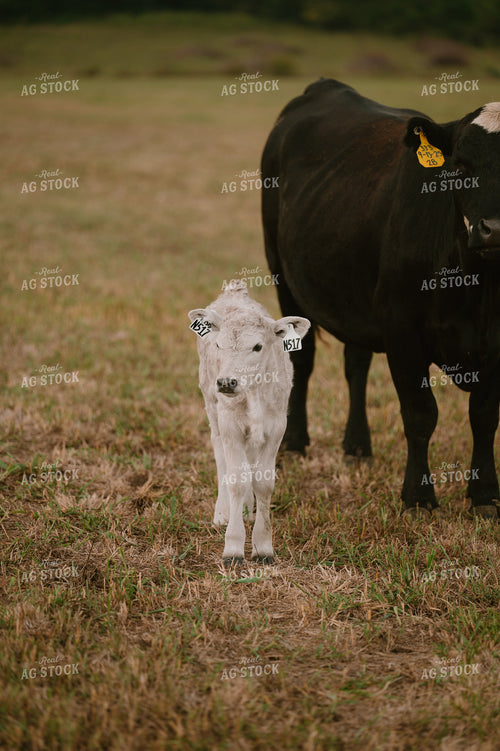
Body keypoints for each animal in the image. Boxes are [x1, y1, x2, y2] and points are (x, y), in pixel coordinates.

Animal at [189, 280, 310, 564]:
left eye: (257, 347)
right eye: (219, 345)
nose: (226, 382)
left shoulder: (276, 428)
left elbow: (263, 481)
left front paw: (263, 546)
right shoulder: (230, 425)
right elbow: (236, 479)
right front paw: (233, 547)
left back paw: (246, 509)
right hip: (212, 409)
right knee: (222, 457)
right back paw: (224, 512)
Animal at [261, 78, 500, 519]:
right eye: (460, 167)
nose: (493, 229)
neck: (478, 291)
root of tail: (326, 87)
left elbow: (484, 416)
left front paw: (485, 495)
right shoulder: (401, 328)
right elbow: (421, 413)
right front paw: (418, 497)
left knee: (355, 364)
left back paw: (357, 446)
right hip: (283, 276)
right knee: (302, 360)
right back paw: (295, 442)